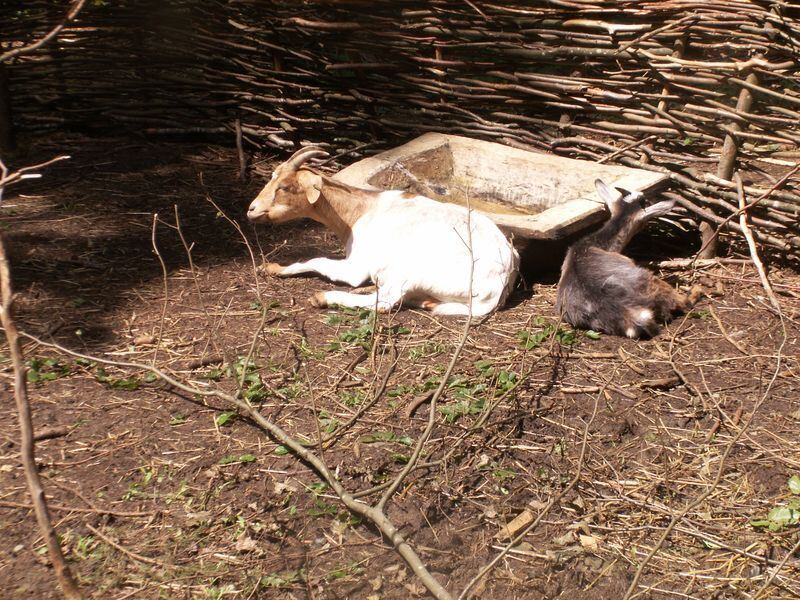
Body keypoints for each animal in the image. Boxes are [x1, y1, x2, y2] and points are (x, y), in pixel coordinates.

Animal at [247, 146, 520, 316]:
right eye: (272, 177)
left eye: (284, 187)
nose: (252, 209)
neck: (360, 210)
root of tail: (499, 282)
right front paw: (269, 267)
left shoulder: (356, 266)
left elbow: (317, 260)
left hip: (410, 269)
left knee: (386, 301)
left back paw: (325, 297)